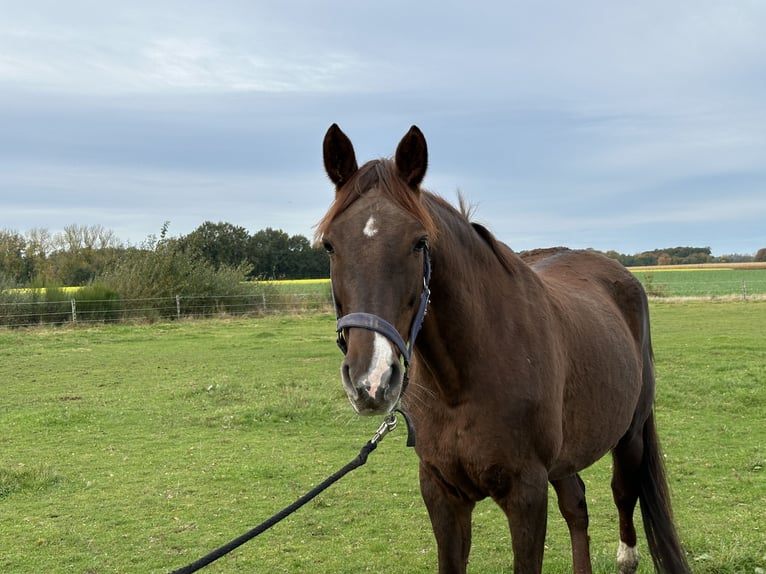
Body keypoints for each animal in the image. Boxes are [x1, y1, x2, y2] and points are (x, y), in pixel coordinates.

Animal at [318, 122, 688, 574]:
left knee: (623, 494)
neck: (462, 380)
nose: (371, 381)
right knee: (576, 505)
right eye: (330, 245)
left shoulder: (526, 494)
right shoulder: (442, 493)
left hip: (630, 437)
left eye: (419, 242)